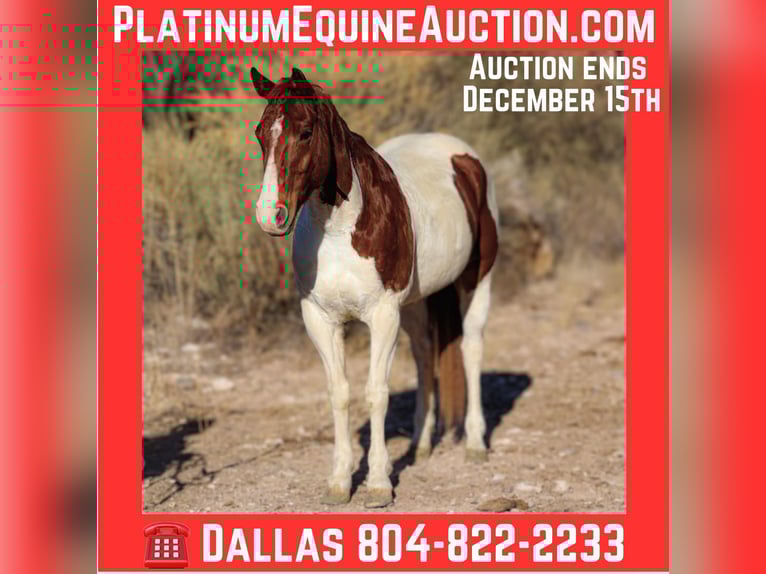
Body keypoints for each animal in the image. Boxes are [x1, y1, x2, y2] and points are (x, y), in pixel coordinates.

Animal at [249, 66, 499, 508]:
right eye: (261, 133)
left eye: (306, 132)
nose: (269, 215)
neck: (340, 230)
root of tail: (466, 160)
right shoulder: (320, 318)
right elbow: (340, 393)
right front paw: (339, 480)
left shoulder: (382, 316)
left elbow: (376, 392)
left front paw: (379, 483)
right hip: (414, 303)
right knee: (425, 353)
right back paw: (420, 444)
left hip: (476, 282)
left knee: (471, 349)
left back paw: (474, 443)